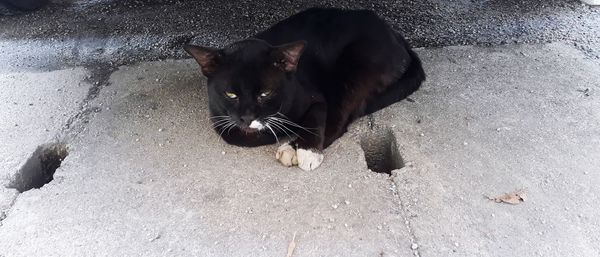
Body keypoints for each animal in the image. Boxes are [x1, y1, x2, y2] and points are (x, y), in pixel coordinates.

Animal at [185, 8, 424, 170]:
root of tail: (396, 36)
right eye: (230, 94)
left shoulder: (314, 96)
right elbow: (238, 134)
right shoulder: (219, 117)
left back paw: (294, 148)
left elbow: (316, 115)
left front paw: (305, 149)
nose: (247, 117)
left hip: (358, 65)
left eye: (265, 93)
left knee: (339, 116)